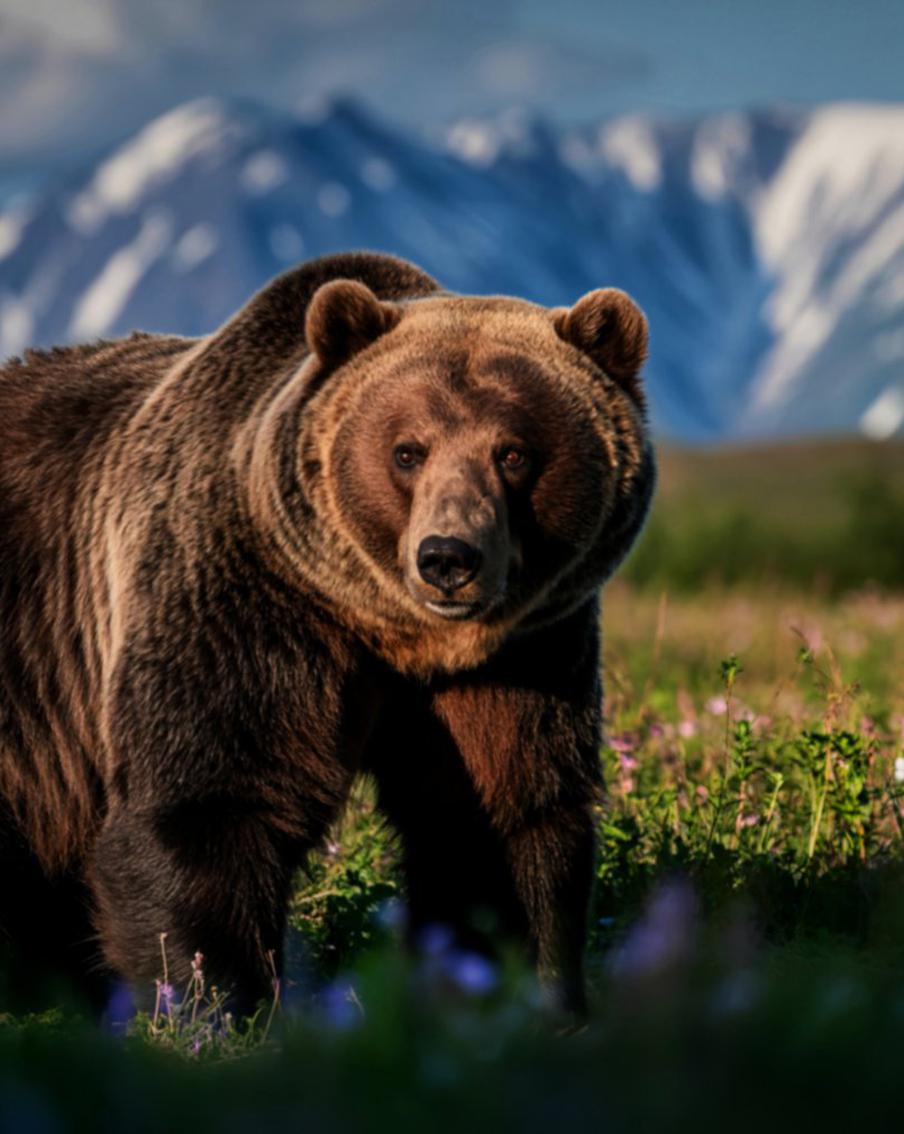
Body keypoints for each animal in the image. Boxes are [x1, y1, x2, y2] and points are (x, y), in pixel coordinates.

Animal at [0, 251, 654, 1018]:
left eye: (514, 453)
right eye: (407, 451)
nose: (447, 557)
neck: (393, 634)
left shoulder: (525, 651)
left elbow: (503, 816)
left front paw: (524, 991)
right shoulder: (244, 602)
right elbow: (207, 808)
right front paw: (222, 1002)